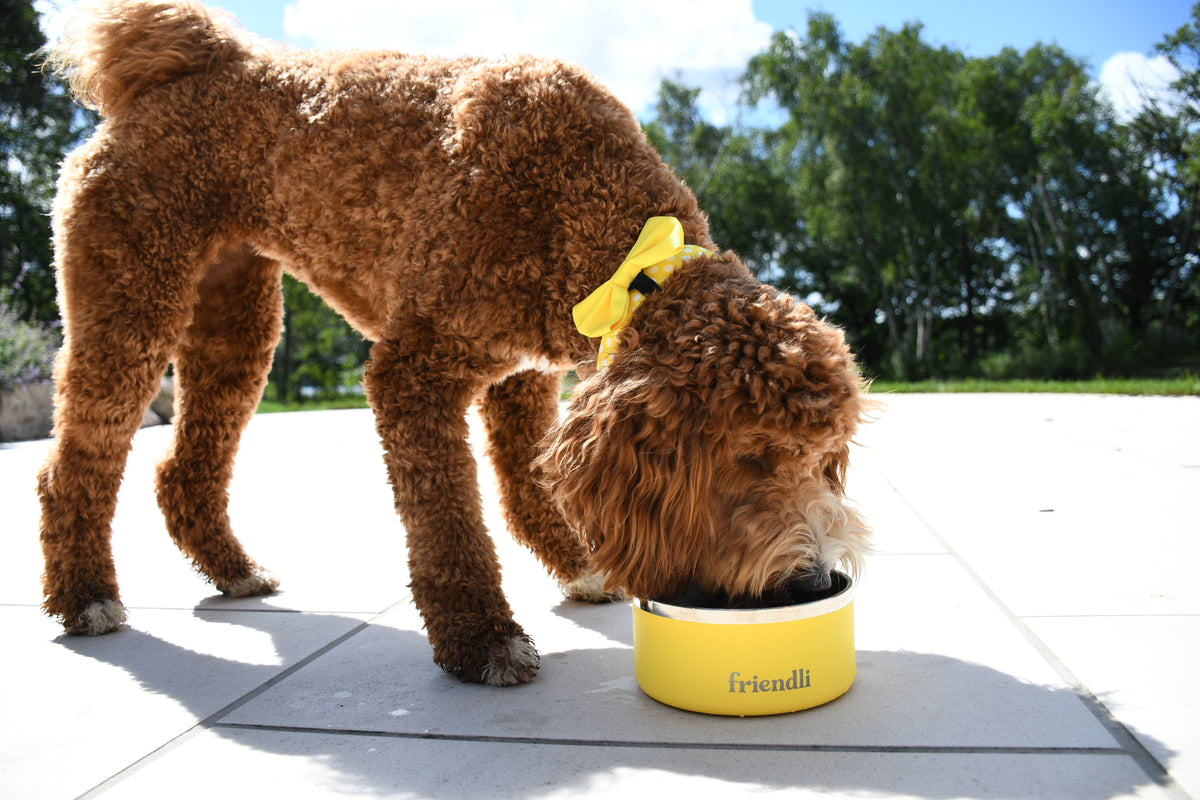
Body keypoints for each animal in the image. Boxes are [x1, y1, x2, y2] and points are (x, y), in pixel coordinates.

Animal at [35, 1, 864, 690]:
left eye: (826, 459)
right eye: (750, 458)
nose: (814, 582)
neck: (612, 243)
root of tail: (191, 62)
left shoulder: (521, 380)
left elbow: (526, 484)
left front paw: (579, 565)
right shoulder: (414, 372)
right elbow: (448, 520)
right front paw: (482, 641)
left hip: (235, 329)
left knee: (184, 469)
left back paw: (234, 572)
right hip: (130, 305)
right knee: (74, 465)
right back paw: (86, 596)